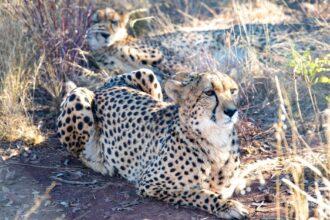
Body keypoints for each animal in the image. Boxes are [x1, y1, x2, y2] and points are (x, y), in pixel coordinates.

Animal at [57, 68, 248, 218]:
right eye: (209, 92)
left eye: (233, 91)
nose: (232, 111)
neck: (217, 140)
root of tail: (103, 88)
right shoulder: (150, 183)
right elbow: (199, 193)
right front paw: (228, 206)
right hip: (79, 97)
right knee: (78, 152)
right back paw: (102, 164)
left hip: (146, 73)